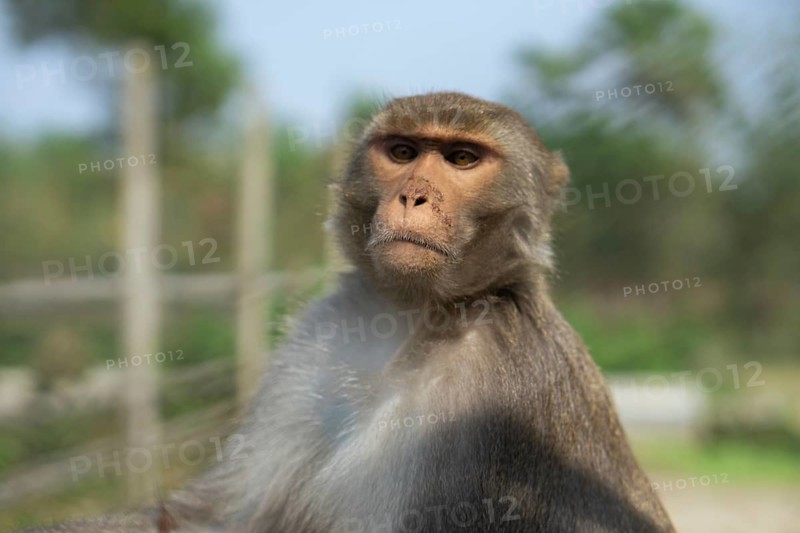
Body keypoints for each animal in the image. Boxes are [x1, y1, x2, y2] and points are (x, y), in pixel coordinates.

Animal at [21, 92, 674, 532]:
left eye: (462, 159)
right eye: (403, 152)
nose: (413, 195)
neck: (416, 316)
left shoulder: (497, 392)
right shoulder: (324, 331)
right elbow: (207, 519)